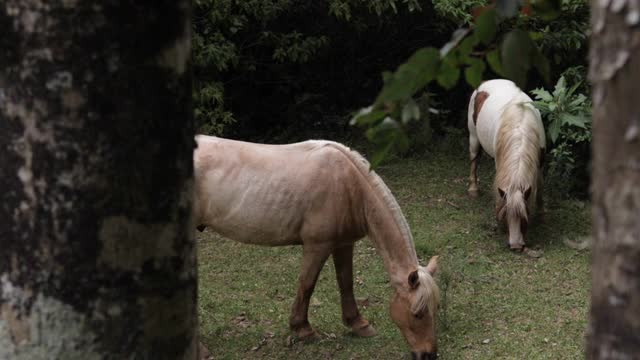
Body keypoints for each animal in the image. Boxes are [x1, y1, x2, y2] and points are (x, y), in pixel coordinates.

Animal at [192, 135, 440, 358]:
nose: (428, 355)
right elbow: (307, 285)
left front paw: (358, 324)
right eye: (418, 314)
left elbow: (346, 283)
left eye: (434, 309)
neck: (349, 184)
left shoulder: (344, 243)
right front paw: (303, 329)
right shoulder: (318, 246)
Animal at [464, 80, 544, 250]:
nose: (515, 246)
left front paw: (541, 213)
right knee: (474, 160)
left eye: (524, 217)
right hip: (473, 137)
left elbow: (540, 186)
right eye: (506, 217)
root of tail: (486, 83)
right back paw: (473, 190)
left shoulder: (540, 163)